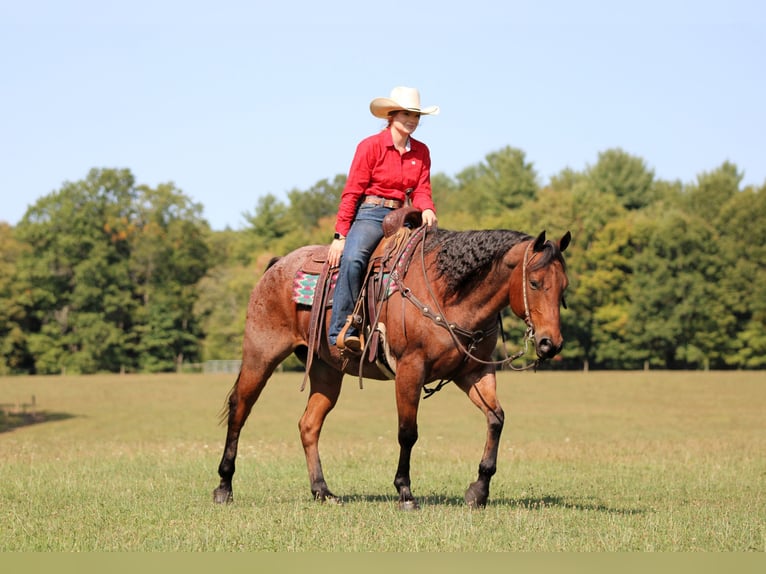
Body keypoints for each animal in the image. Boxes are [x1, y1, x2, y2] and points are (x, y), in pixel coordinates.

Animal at [213, 226, 571, 509]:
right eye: (535, 283)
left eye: (564, 286)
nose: (550, 344)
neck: (447, 293)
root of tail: (276, 266)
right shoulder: (411, 370)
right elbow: (407, 432)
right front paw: (405, 492)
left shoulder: (473, 373)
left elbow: (496, 419)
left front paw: (478, 491)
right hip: (261, 356)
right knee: (239, 409)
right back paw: (224, 487)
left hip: (326, 372)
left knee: (308, 425)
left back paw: (322, 491)